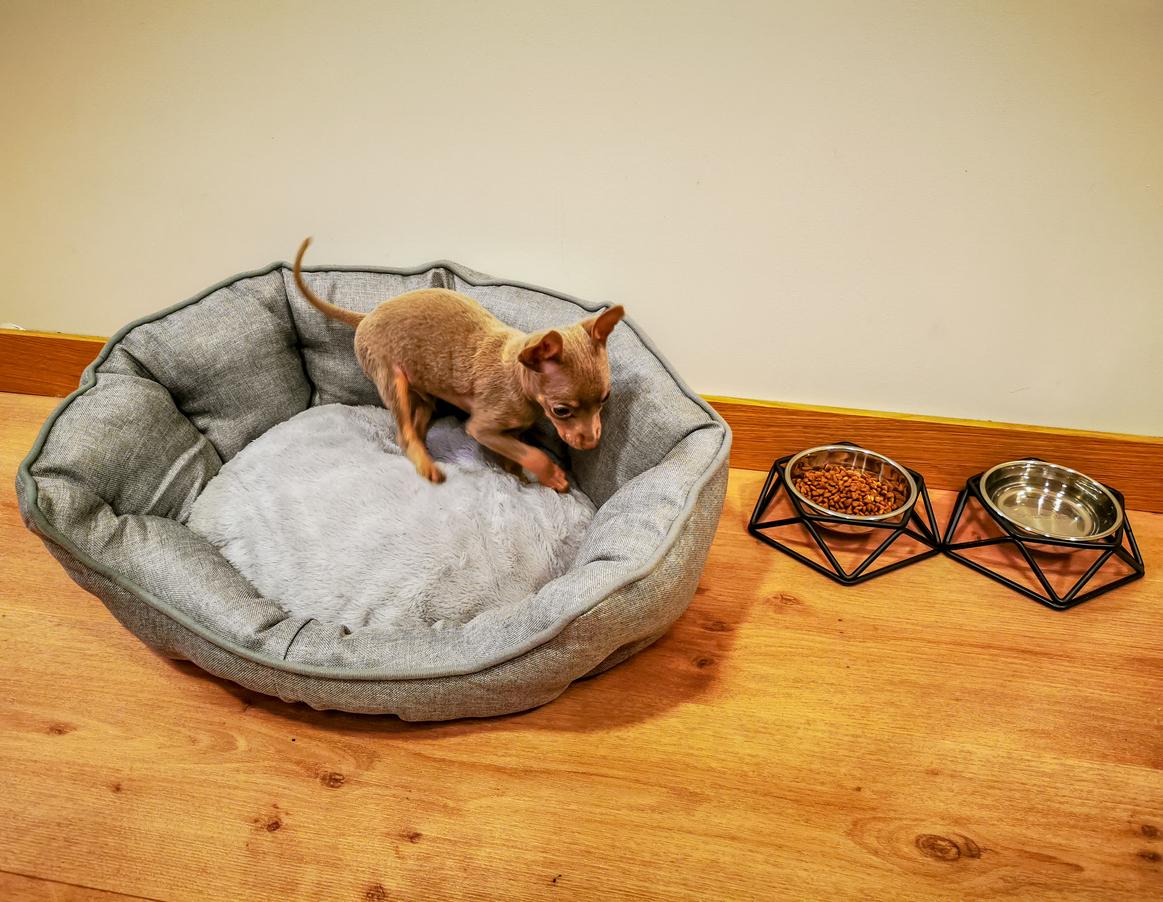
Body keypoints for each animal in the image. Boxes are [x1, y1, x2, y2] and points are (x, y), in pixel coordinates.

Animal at [295, 238, 623, 492]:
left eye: (605, 399)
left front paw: (515, 473)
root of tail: (365, 316)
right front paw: (552, 475)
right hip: (391, 378)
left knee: (420, 416)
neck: (518, 379)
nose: (591, 443)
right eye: (561, 411)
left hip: (420, 385)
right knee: (403, 434)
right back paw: (425, 463)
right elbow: (534, 454)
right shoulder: (483, 428)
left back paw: (423, 442)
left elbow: (518, 452)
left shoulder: (512, 430)